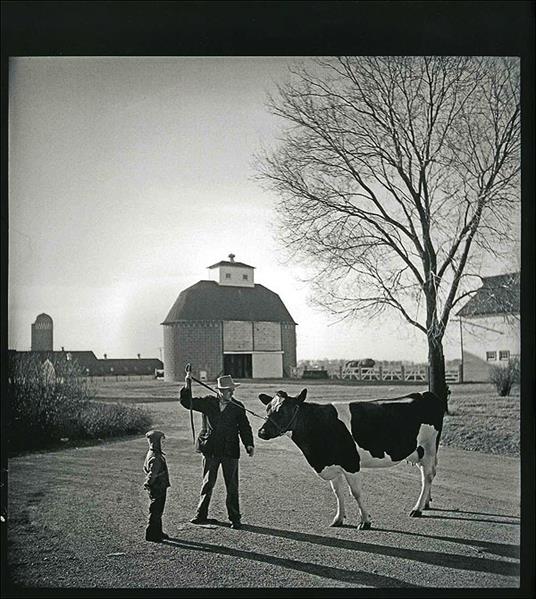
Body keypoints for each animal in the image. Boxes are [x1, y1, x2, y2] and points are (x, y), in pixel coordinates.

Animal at [258, 392, 446, 532]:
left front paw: (365, 521)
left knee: (427, 476)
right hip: (419, 451)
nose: (261, 432)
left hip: (429, 446)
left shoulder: (351, 464)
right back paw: (426, 503)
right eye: (268, 409)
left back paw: (417, 509)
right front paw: (338, 519)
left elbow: (356, 493)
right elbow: (338, 493)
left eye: (283, 411)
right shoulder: (332, 465)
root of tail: (424, 393)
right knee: (428, 474)